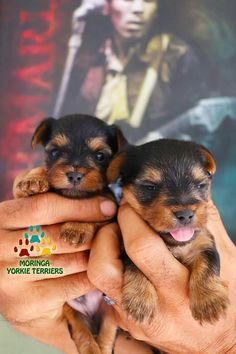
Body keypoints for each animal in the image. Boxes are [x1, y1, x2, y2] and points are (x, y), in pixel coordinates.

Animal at [13, 112, 127, 354]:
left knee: (107, 335)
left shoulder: (110, 213)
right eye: (55, 152)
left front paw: (76, 227)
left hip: (110, 311)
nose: (74, 174)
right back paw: (90, 347)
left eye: (100, 156)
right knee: (82, 332)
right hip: (71, 310)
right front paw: (33, 179)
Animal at [108, 138, 230, 326]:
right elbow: (135, 265)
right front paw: (140, 301)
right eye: (149, 187)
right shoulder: (125, 247)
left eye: (201, 185)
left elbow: (208, 263)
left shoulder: (204, 241)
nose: (185, 214)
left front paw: (210, 301)